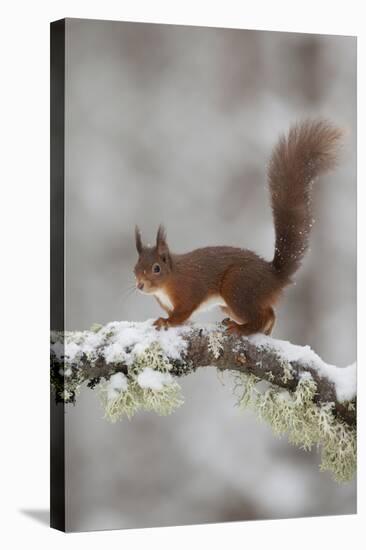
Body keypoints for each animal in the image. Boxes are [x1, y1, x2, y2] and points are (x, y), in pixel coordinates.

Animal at [134, 121, 344, 336]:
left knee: (261, 316)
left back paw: (241, 328)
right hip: (231, 302)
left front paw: (166, 321)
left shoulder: (189, 291)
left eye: (156, 268)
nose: (140, 285)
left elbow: (182, 314)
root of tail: (273, 277)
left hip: (237, 287)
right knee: (269, 312)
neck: (169, 280)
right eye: (136, 267)